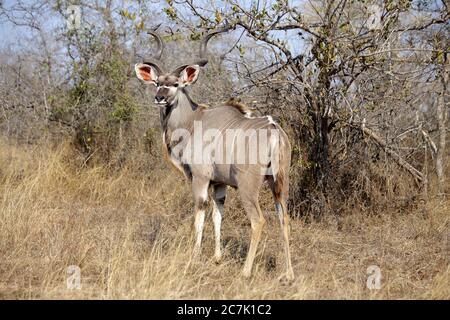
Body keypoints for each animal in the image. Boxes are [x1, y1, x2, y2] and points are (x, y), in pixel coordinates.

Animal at [134, 26, 296, 278]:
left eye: (176, 84)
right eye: (158, 82)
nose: (159, 97)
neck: (192, 122)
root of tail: (273, 130)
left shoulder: (200, 179)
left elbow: (200, 213)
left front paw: (194, 257)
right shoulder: (220, 184)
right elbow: (217, 214)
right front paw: (217, 257)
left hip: (249, 187)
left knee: (259, 221)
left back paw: (245, 272)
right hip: (279, 182)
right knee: (284, 218)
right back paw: (289, 274)